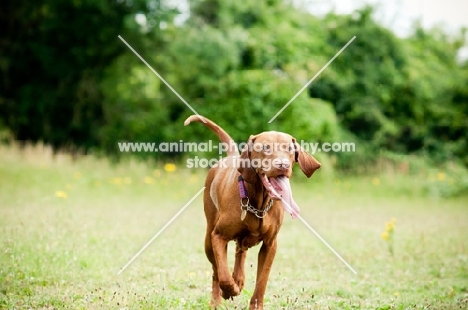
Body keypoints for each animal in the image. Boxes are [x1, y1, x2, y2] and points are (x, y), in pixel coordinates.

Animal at [185, 115, 320, 308]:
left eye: (289, 148)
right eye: (265, 147)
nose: (283, 164)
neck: (259, 204)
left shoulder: (270, 245)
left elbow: (262, 280)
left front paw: (255, 304)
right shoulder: (218, 236)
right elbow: (223, 274)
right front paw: (229, 291)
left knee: (240, 252)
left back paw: (239, 278)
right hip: (208, 239)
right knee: (215, 270)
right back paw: (217, 300)